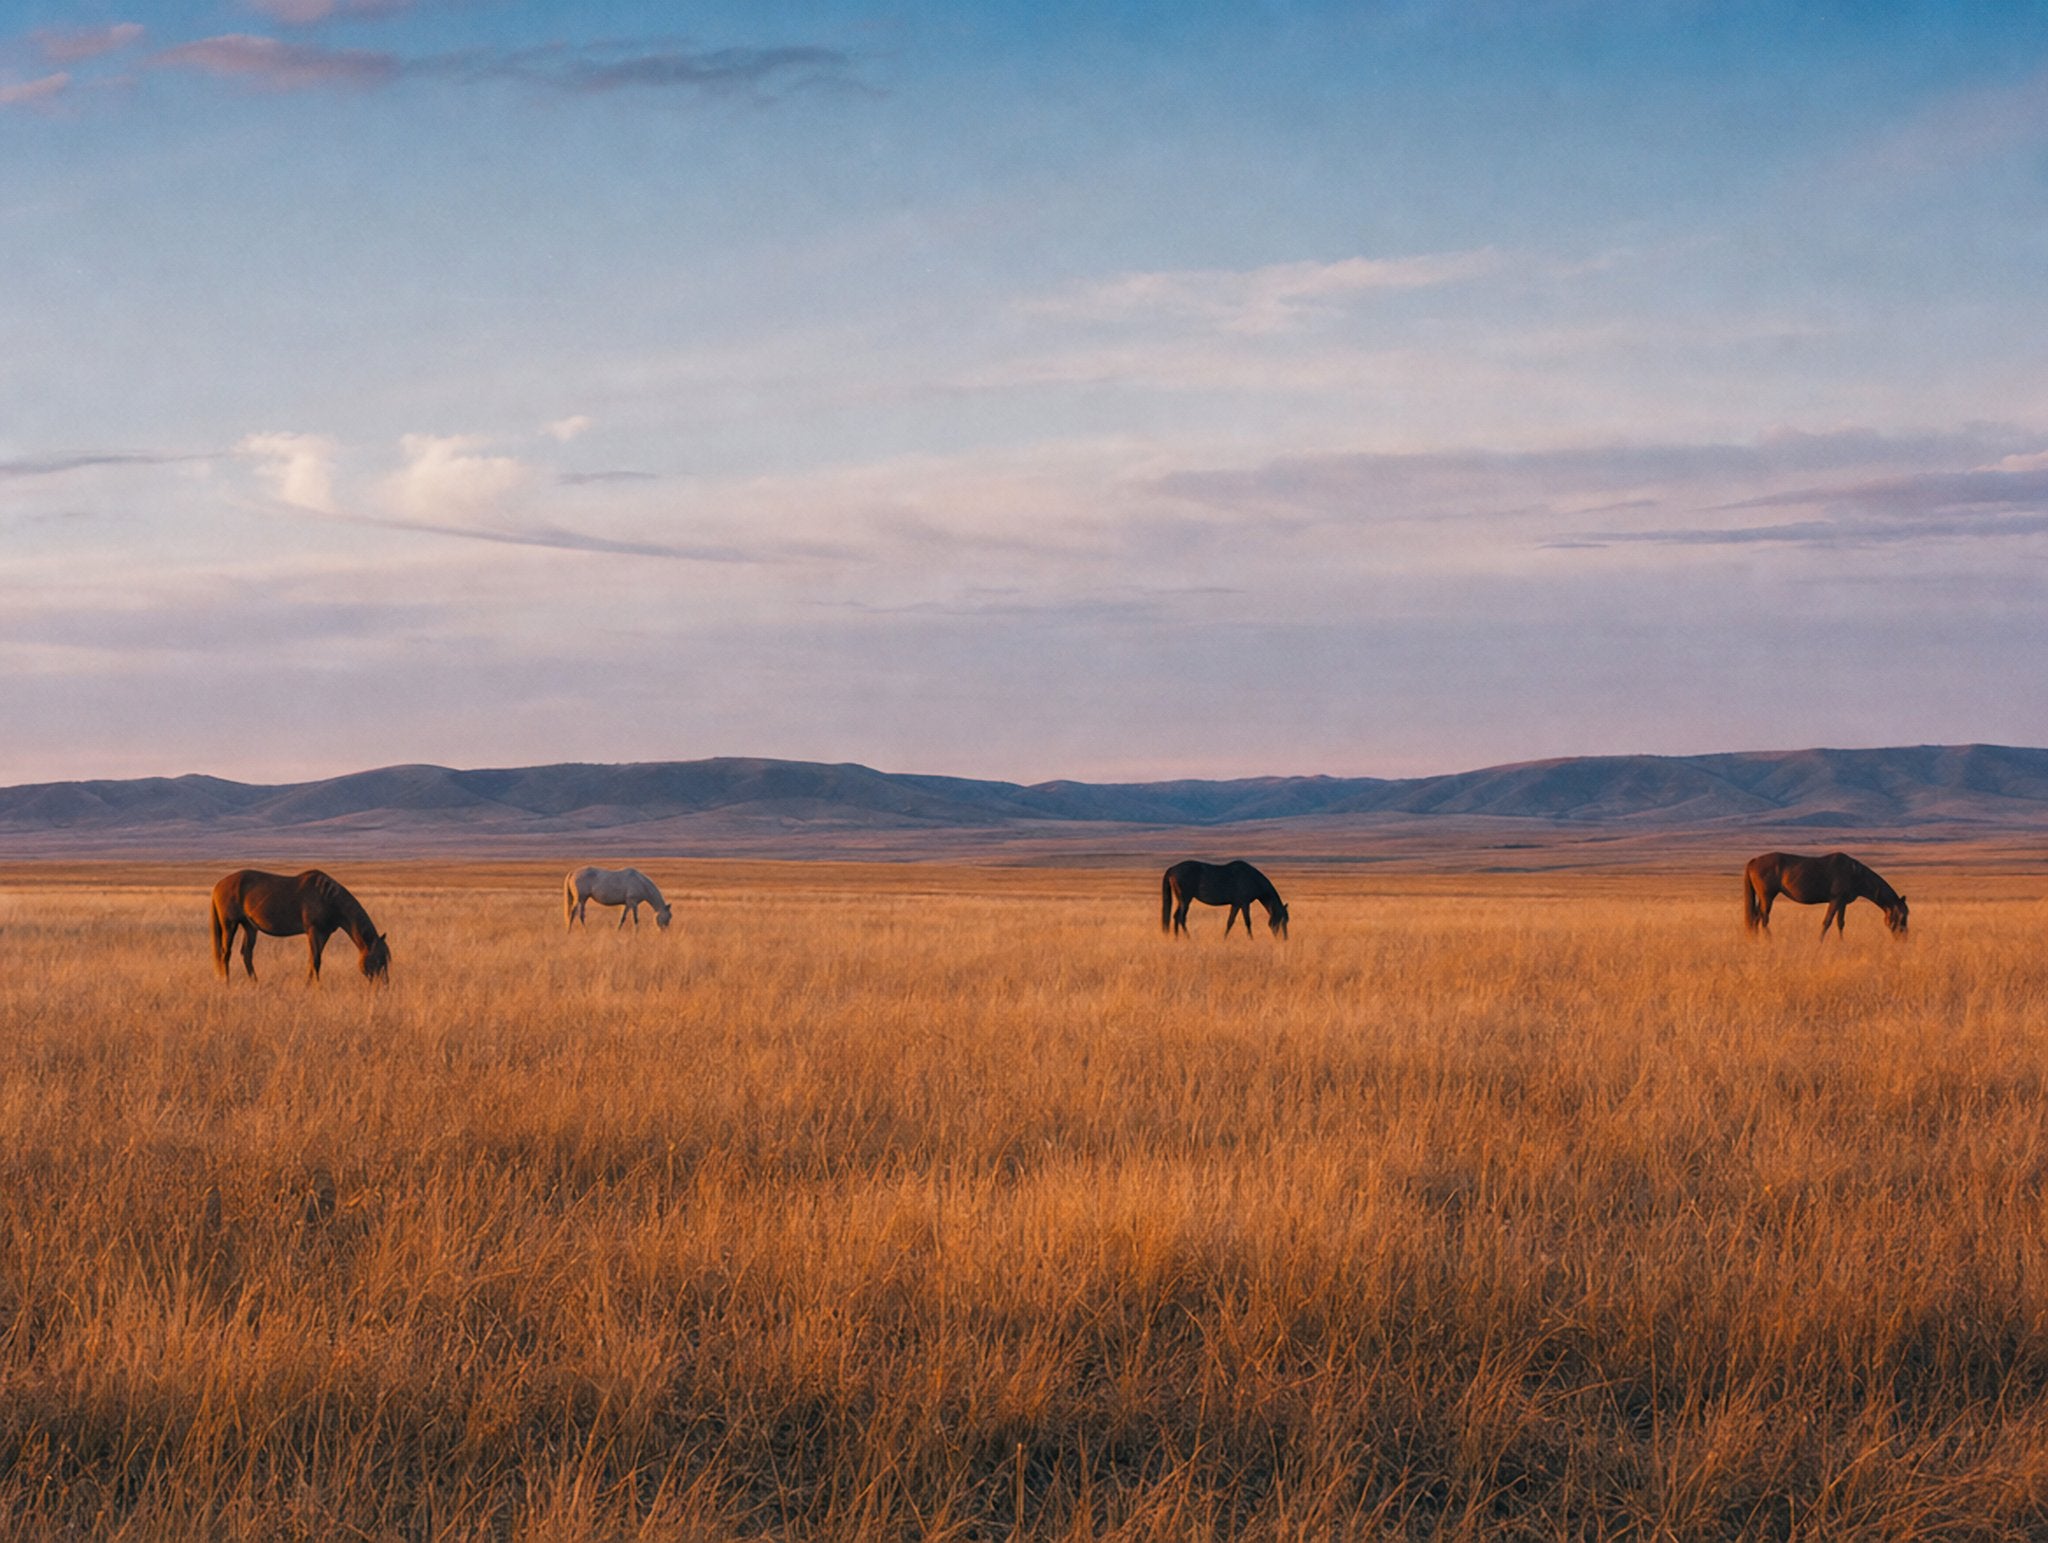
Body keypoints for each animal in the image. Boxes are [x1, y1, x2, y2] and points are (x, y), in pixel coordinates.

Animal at [210, 869, 391, 982]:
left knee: (246, 954)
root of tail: (218, 885)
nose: (384, 986)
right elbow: (316, 961)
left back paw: (255, 983)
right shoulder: (314, 931)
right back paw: (226, 983)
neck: (329, 899)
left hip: (249, 927)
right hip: (230, 925)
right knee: (225, 954)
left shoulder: (324, 934)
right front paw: (314, 989)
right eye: (379, 959)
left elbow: (312, 960)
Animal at [1743, 851, 1909, 940]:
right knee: (1763, 918)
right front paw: (1820, 943)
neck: (1855, 873)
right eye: (1902, 915)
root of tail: (1753, 861)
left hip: (1762, 897)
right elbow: (1827, 922)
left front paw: (1842, 943)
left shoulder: (1842, 902)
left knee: (1755, 918)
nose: (1904, 938)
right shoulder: (1835, 900)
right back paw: (1769, 941)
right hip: (1767, 896)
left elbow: (1840, 923)